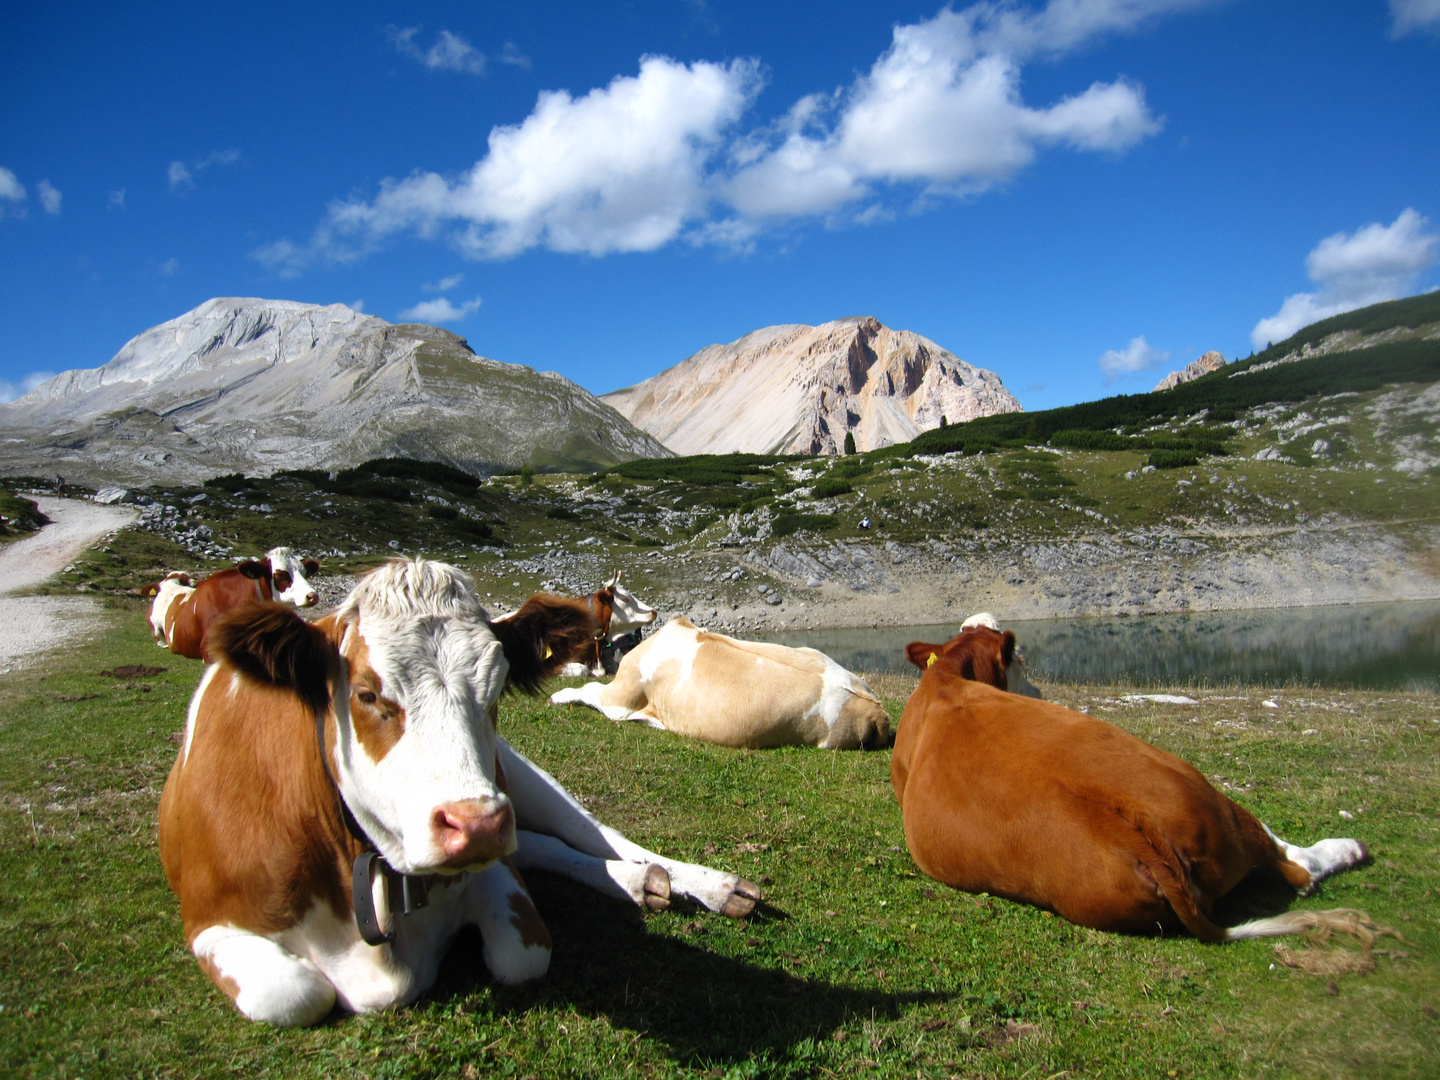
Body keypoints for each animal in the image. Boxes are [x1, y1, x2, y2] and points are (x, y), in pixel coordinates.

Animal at [157, 561, 760, 1025]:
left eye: (495, 692)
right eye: (366, 694)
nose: (478, 825)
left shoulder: (497, 868)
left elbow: (522, 953)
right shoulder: (212, 924)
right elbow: (296, 994)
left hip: (517, 774)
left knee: (596, 835)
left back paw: (703, 883)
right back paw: (643, 882)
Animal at [892, 622, 1376, 944]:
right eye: (1023, 663)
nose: (1041, 693)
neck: (946, 677)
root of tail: (1137, 830)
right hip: (1210, 793)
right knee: (1295, 865)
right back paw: (1348, 848)